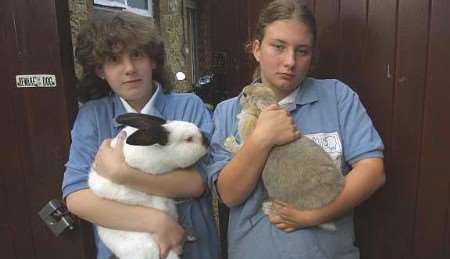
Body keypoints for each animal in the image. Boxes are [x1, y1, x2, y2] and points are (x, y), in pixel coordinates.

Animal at [224, 83, 344, 232]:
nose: (241, 94)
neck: (257, 114)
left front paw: (228, 142)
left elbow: (238, 149)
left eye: (246, 95)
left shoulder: (247, 143)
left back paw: (267, 207)